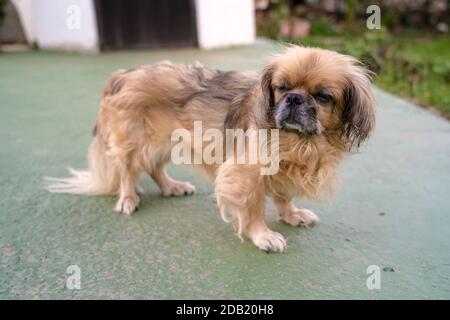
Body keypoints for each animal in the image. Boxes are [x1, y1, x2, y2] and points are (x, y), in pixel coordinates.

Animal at [46, 45, 376, 252]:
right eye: (281, 87)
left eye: (322, 96)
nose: (293, 98)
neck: (299, 141)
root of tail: (123, 73)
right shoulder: (246, 173)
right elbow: (254, 207)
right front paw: (263, 236)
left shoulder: (283, 171)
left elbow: (284, 196)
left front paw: (291, 215)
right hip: (135, 140)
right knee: (128, 170)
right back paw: (128, 199)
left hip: (168, 140)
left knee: (154, 168)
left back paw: (171, 187)